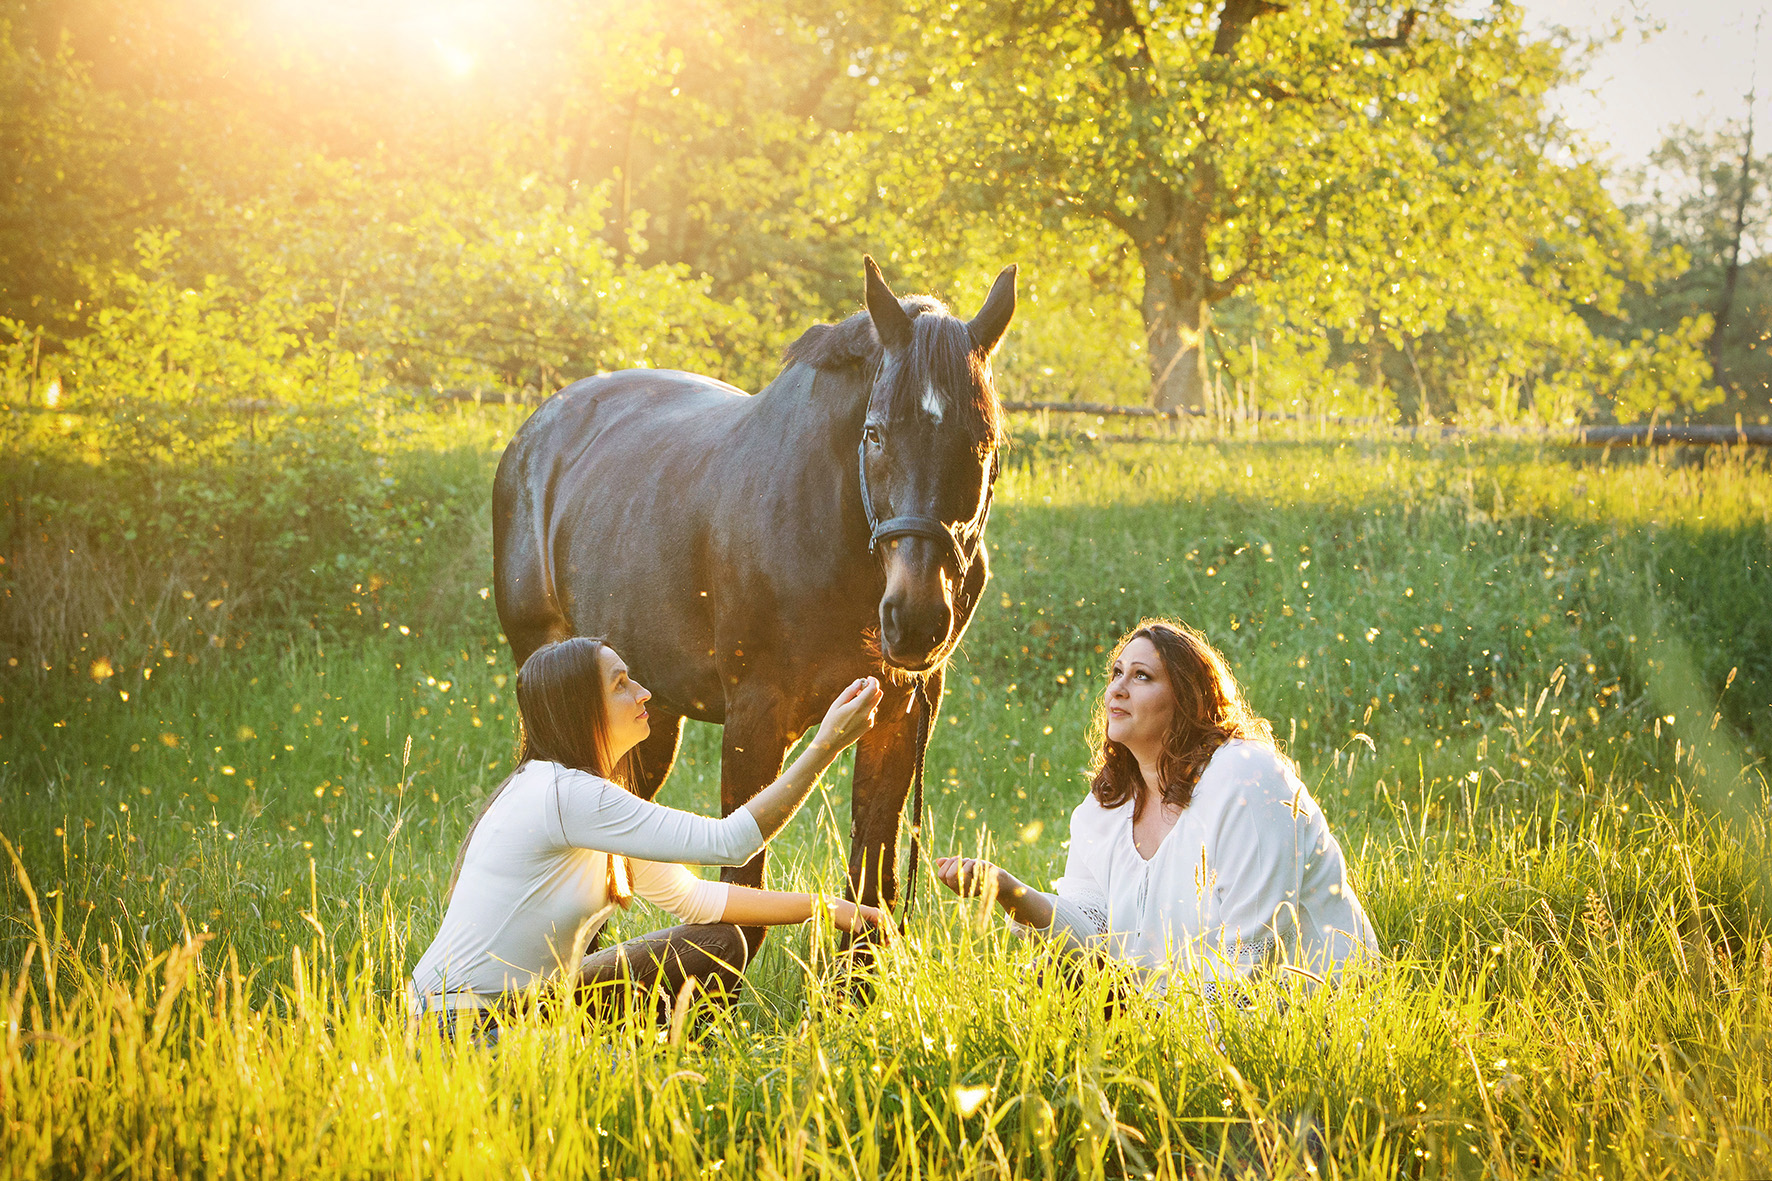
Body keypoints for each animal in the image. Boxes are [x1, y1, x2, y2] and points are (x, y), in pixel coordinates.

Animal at [492, 260, 1020, 950]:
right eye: (874, 433)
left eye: (985, 441)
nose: (915, 621)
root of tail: (538, 428)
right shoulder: (755, 720)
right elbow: (737, 909)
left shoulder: (900, 718)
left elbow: (869, 896)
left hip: (653, 708)